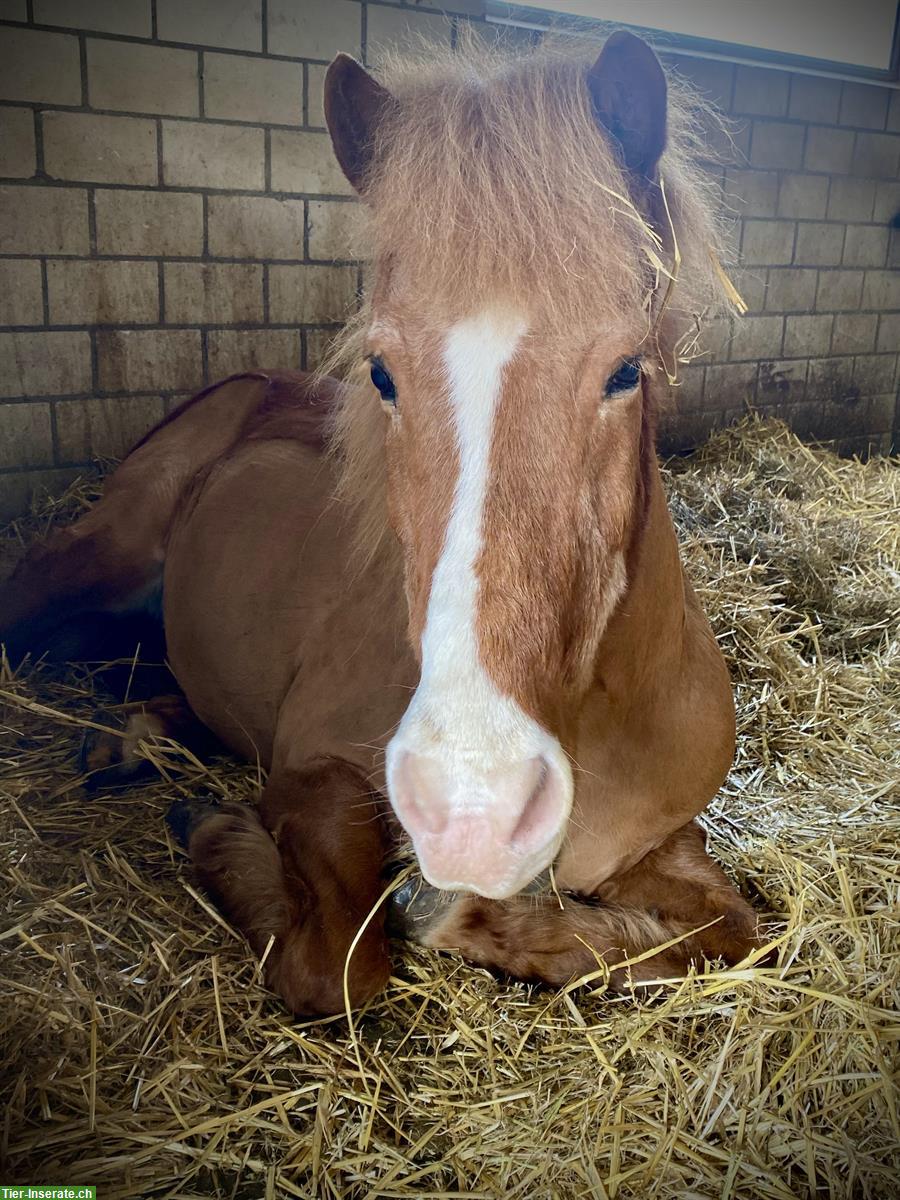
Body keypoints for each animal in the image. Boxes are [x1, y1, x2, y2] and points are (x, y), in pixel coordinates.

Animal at [0, 32, 768, 1017]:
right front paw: (213, 827)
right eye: (380, 374)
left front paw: (494, 926)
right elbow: (339, 961)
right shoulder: (317, 772)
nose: (475, 800)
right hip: (90, 557)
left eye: (626, 369)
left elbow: (733, 932)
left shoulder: (664, 844)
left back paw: (130, 740)